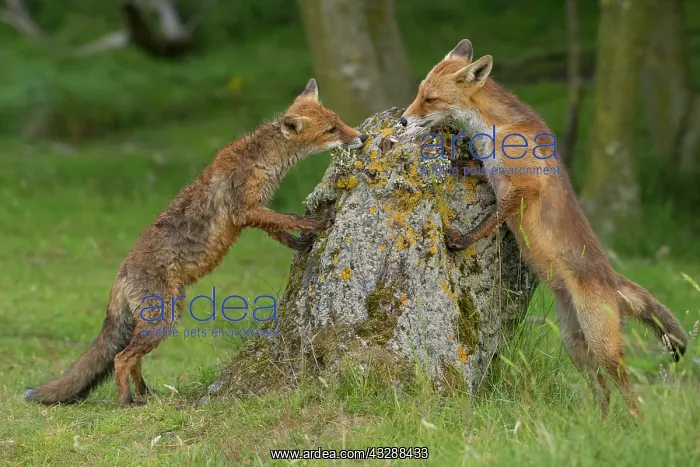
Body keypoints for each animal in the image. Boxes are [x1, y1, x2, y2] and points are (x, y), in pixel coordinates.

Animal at [25, 78, 367, 408]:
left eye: (338, 120)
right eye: (331, 130)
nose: (362, 136)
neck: (260, 158)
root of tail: (120, 276)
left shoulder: (253, 214)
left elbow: (280, 231)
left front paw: (302, 243)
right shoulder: (245, 210)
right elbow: (290, 217)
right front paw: (320, 223)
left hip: (161, 317)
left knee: (133, 359)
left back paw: (146, 393)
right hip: (163, 320)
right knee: (121, 359)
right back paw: (126, 401)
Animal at [399, 39, 688, 417]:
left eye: (430, 99)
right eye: (420, 93)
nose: (403, 120)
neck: (495, 129)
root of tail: (611, 278)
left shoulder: (525, 188)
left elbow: (491, 220)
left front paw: (461, 240)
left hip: (602, 345)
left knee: (627, 391)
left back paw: (633, 427)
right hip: (575, 344)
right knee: (602, 392)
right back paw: (599, 425)